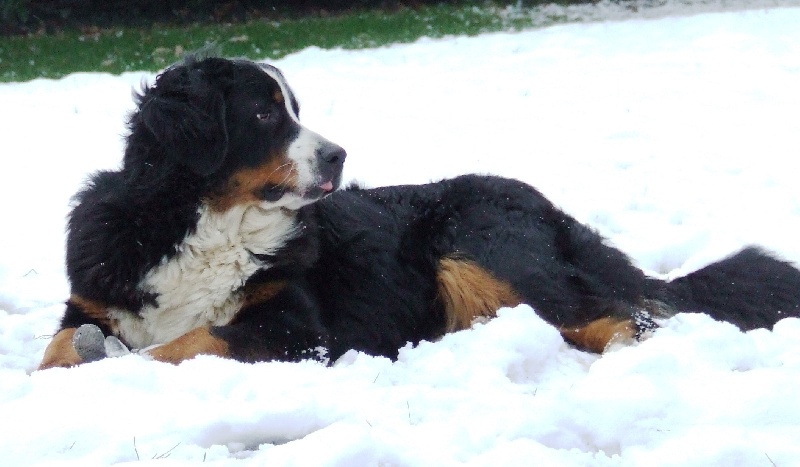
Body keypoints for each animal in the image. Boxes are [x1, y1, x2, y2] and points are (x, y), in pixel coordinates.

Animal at [37, 55, 800, 370]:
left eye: (293, 108)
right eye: (262, 112)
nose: (339, 156)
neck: (204, 221)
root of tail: (548, 205)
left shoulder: (296, 327)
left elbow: (188, 341)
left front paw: (120, 367)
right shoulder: (91, 299)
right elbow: (57, 350)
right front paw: (85, 358)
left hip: (479, 243)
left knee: (624, 315)